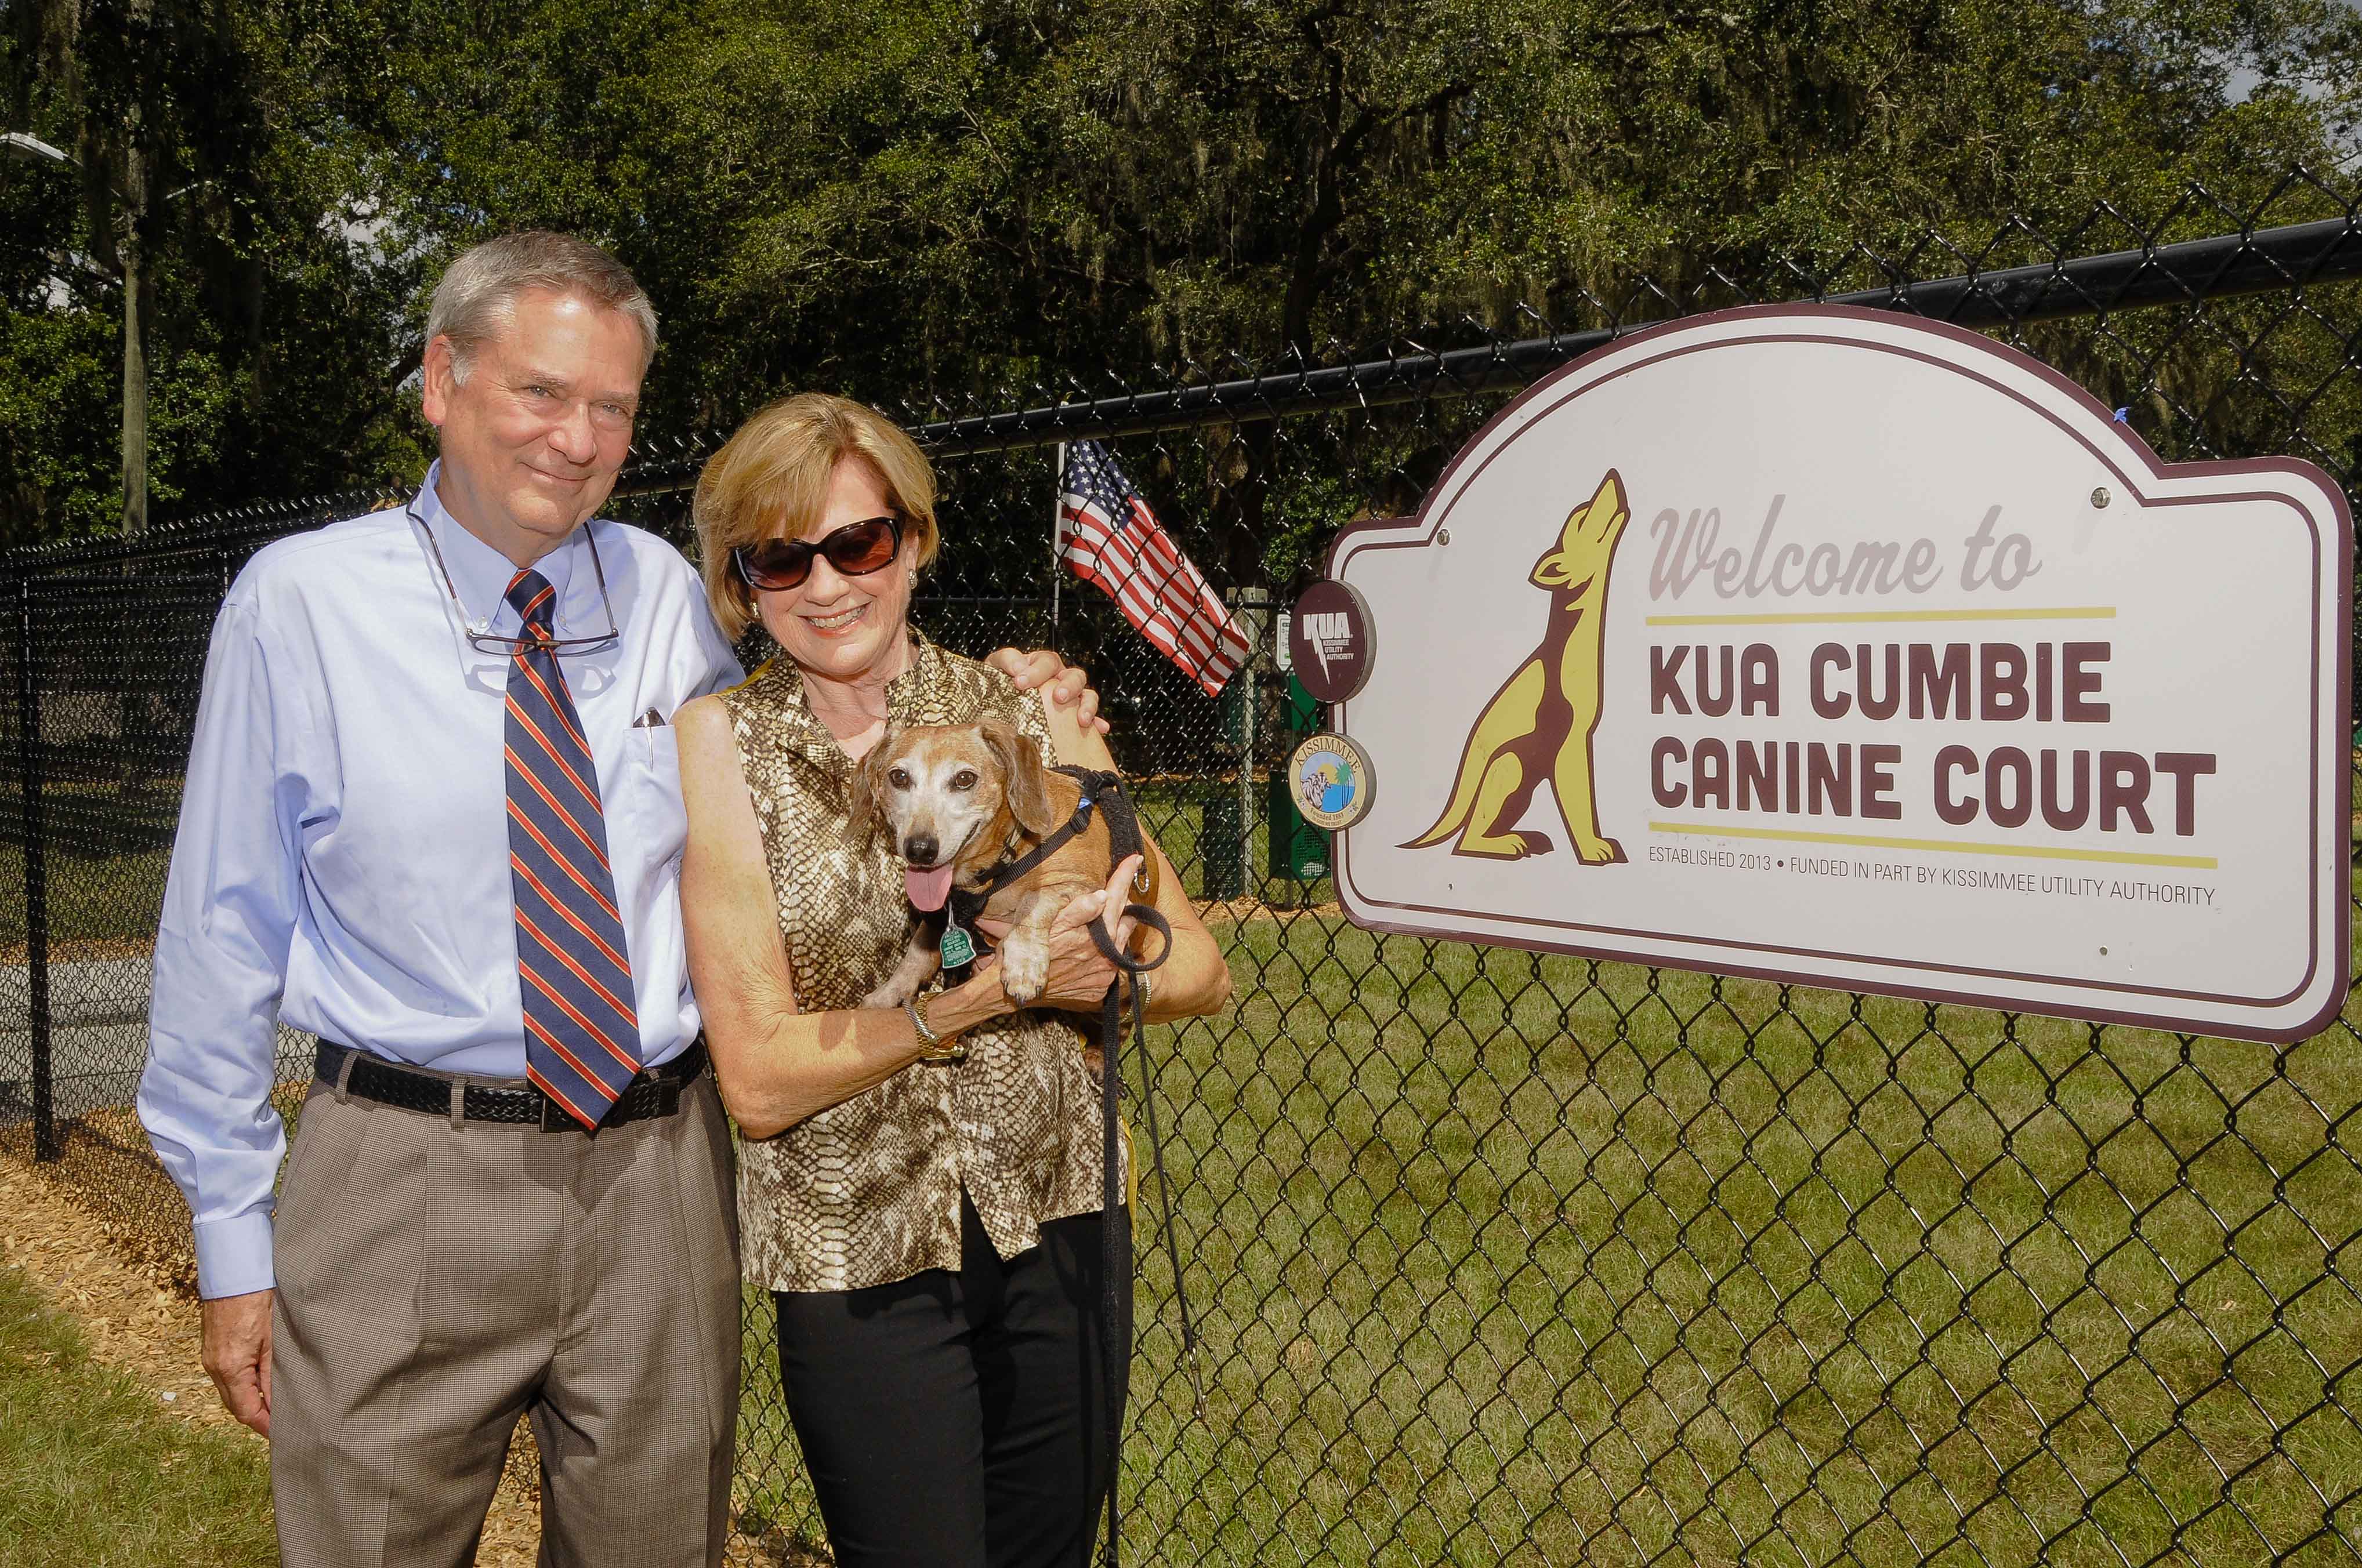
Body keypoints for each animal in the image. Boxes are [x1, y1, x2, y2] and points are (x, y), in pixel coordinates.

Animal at [850, 717, 1153, 1010]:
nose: (920, 850)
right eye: (898, 777)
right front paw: (888, 993)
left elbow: (1033, 904)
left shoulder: (1081, 885)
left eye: (964, 779)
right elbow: (916, 953)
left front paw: (1024, 963)